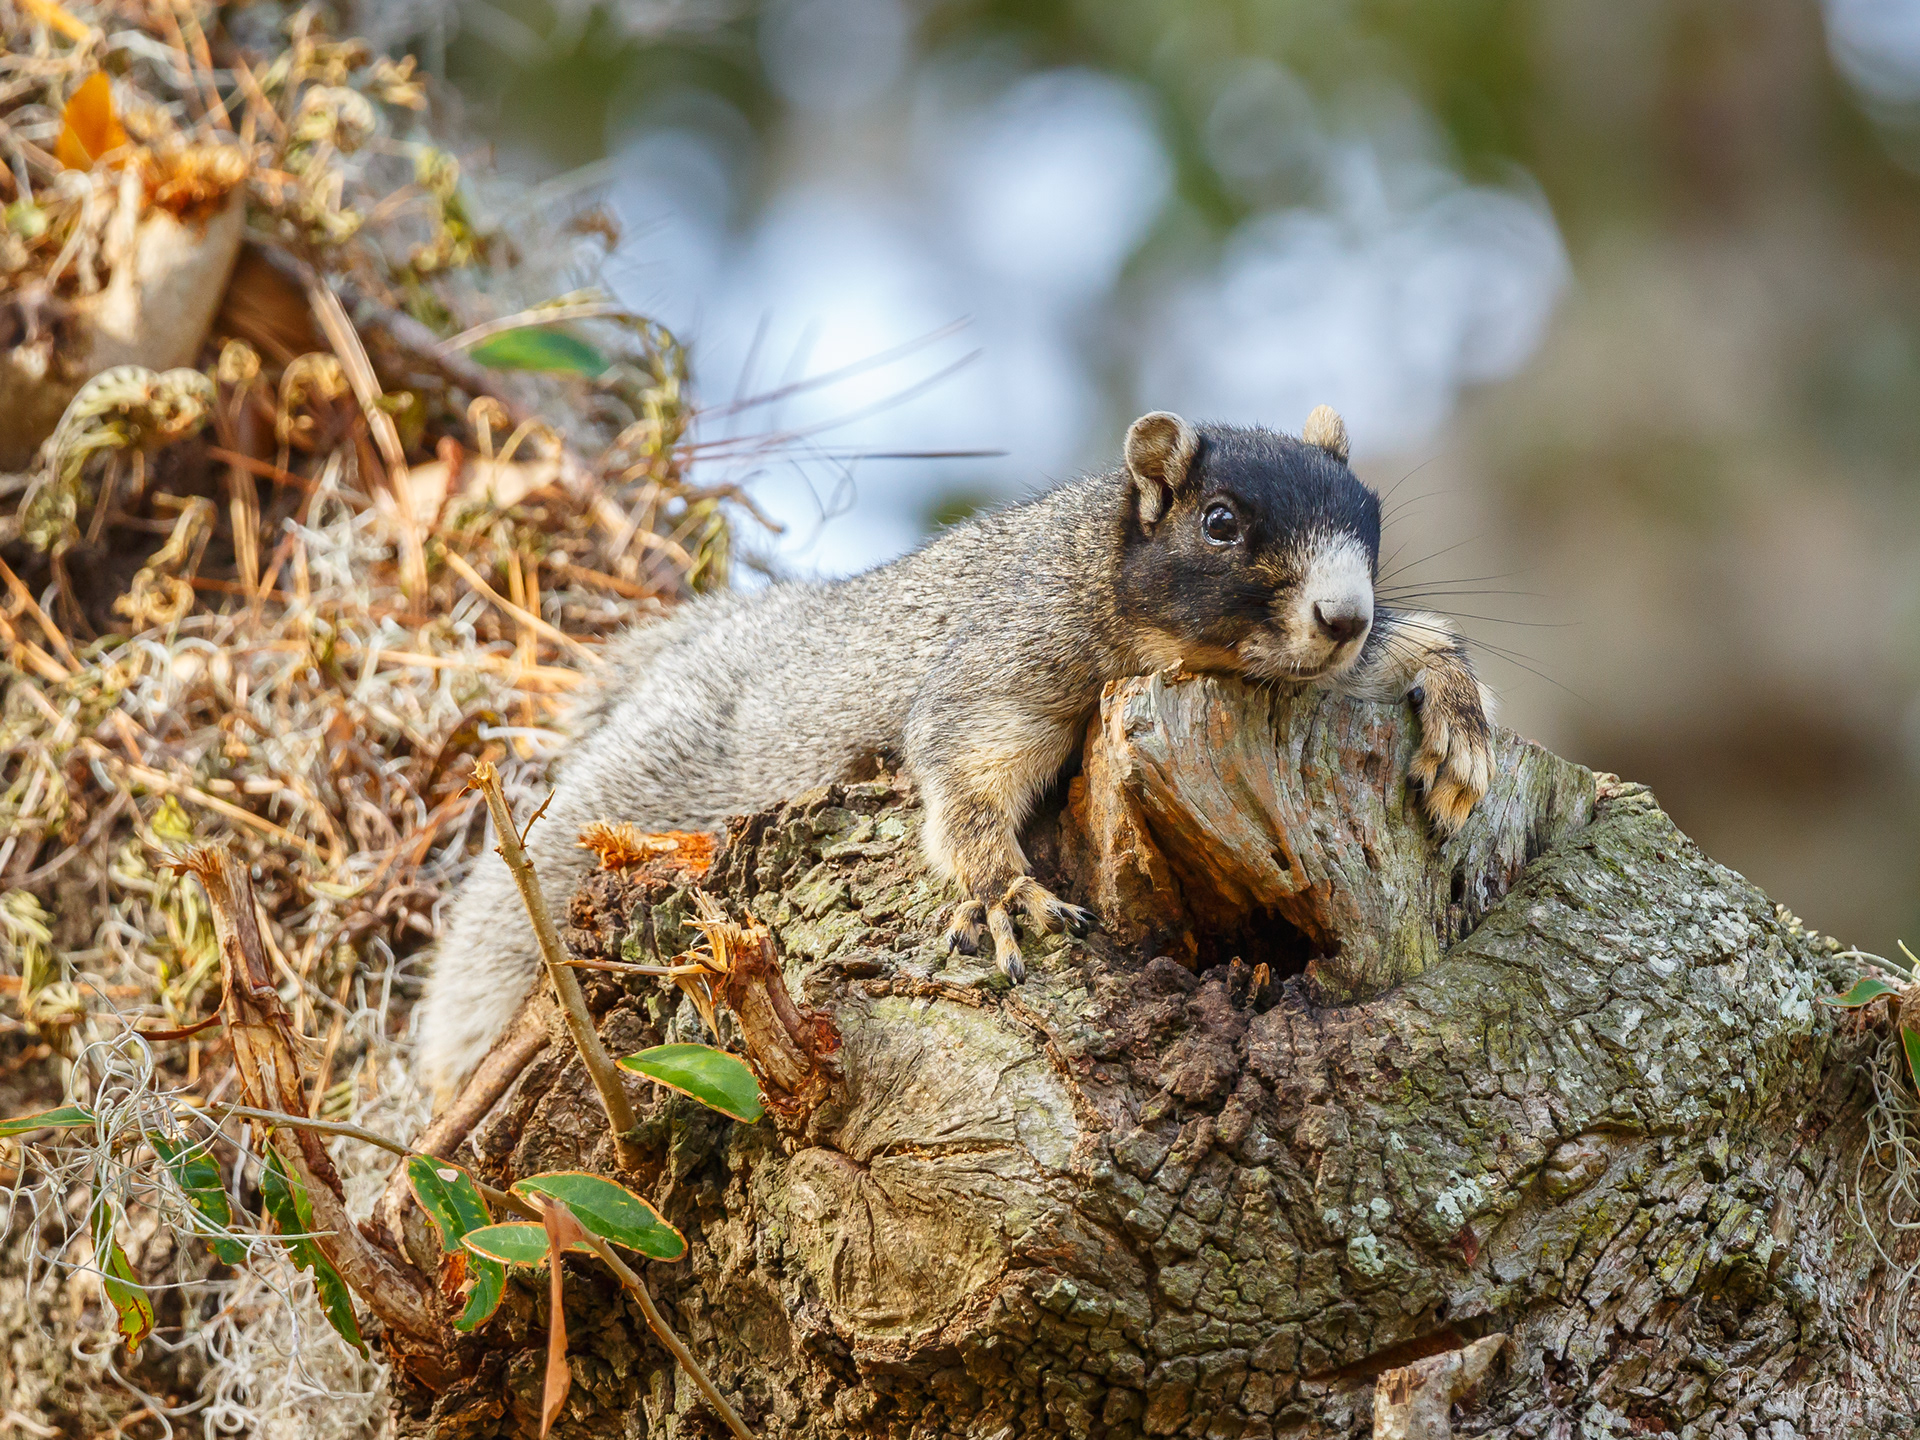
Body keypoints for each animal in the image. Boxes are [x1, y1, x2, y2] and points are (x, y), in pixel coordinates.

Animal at [415, 407, 1495, 1089]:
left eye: (1372, 519)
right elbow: (965, 764)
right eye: (1220, 522)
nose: (1344, 616)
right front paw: (1001, 887)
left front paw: (1454, 713)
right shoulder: (1008, 651)